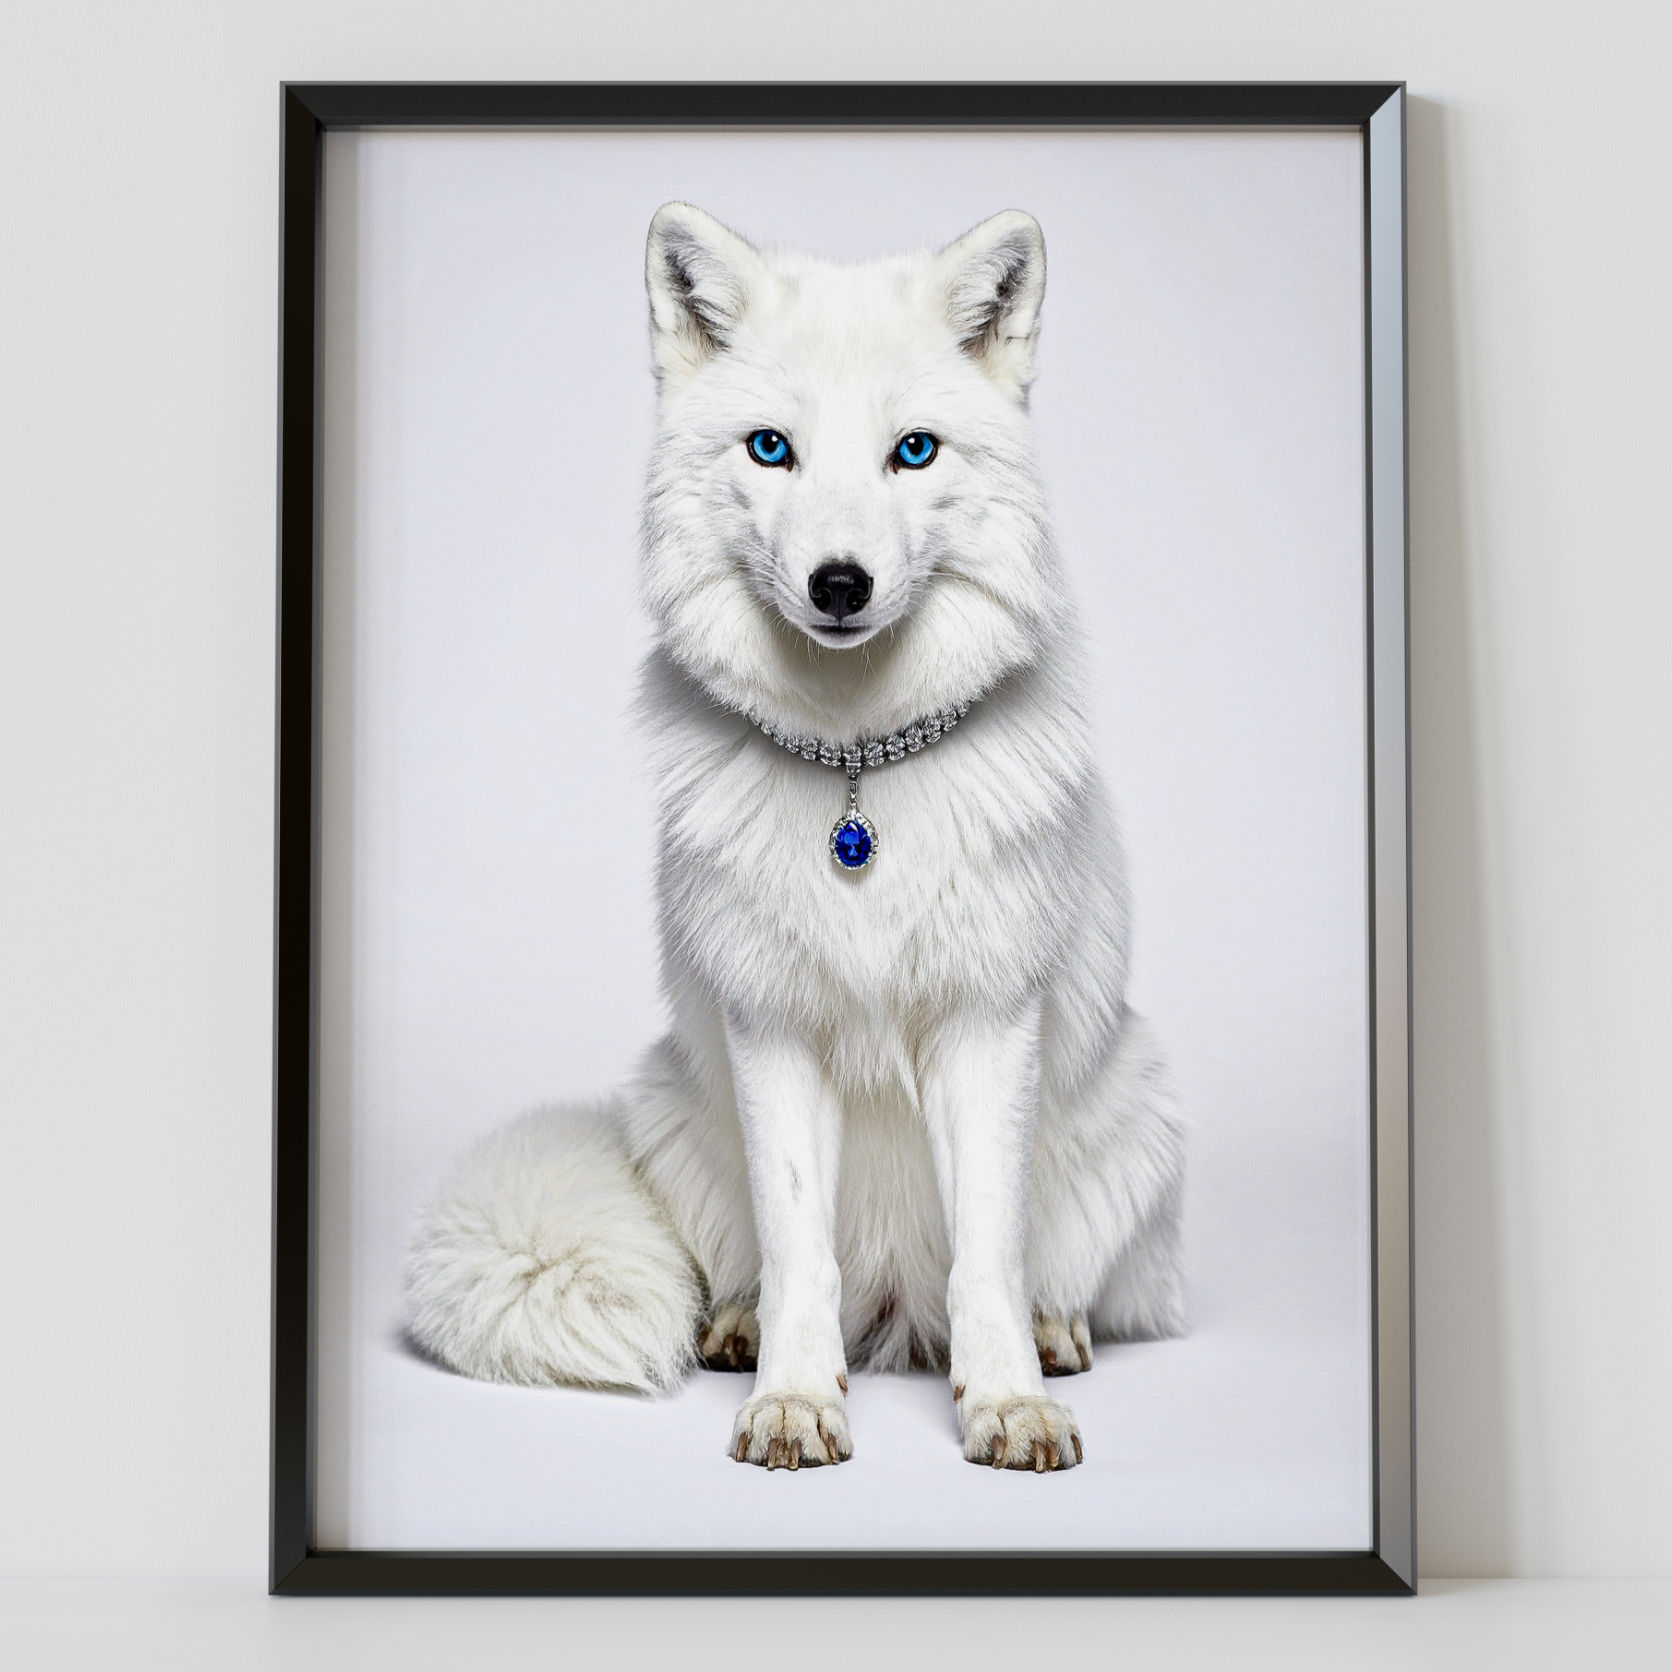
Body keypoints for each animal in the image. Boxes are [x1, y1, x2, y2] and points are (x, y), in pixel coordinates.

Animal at [406, 202, 1186, 1472]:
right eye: (771, 449)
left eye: (913, 452)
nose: (838, 584)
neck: (856, 776)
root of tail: (894, 1311)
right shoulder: (771, 1026)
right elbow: (797, 1252)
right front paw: (794, 1399)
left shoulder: (985, 1023)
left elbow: (987, 1256)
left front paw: (1006, 1402)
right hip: (671, 1102)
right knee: (753, 1266)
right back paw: (735, 1328)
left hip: (1141, 1107)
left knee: (1047, 1277)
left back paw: (1051, 1332)